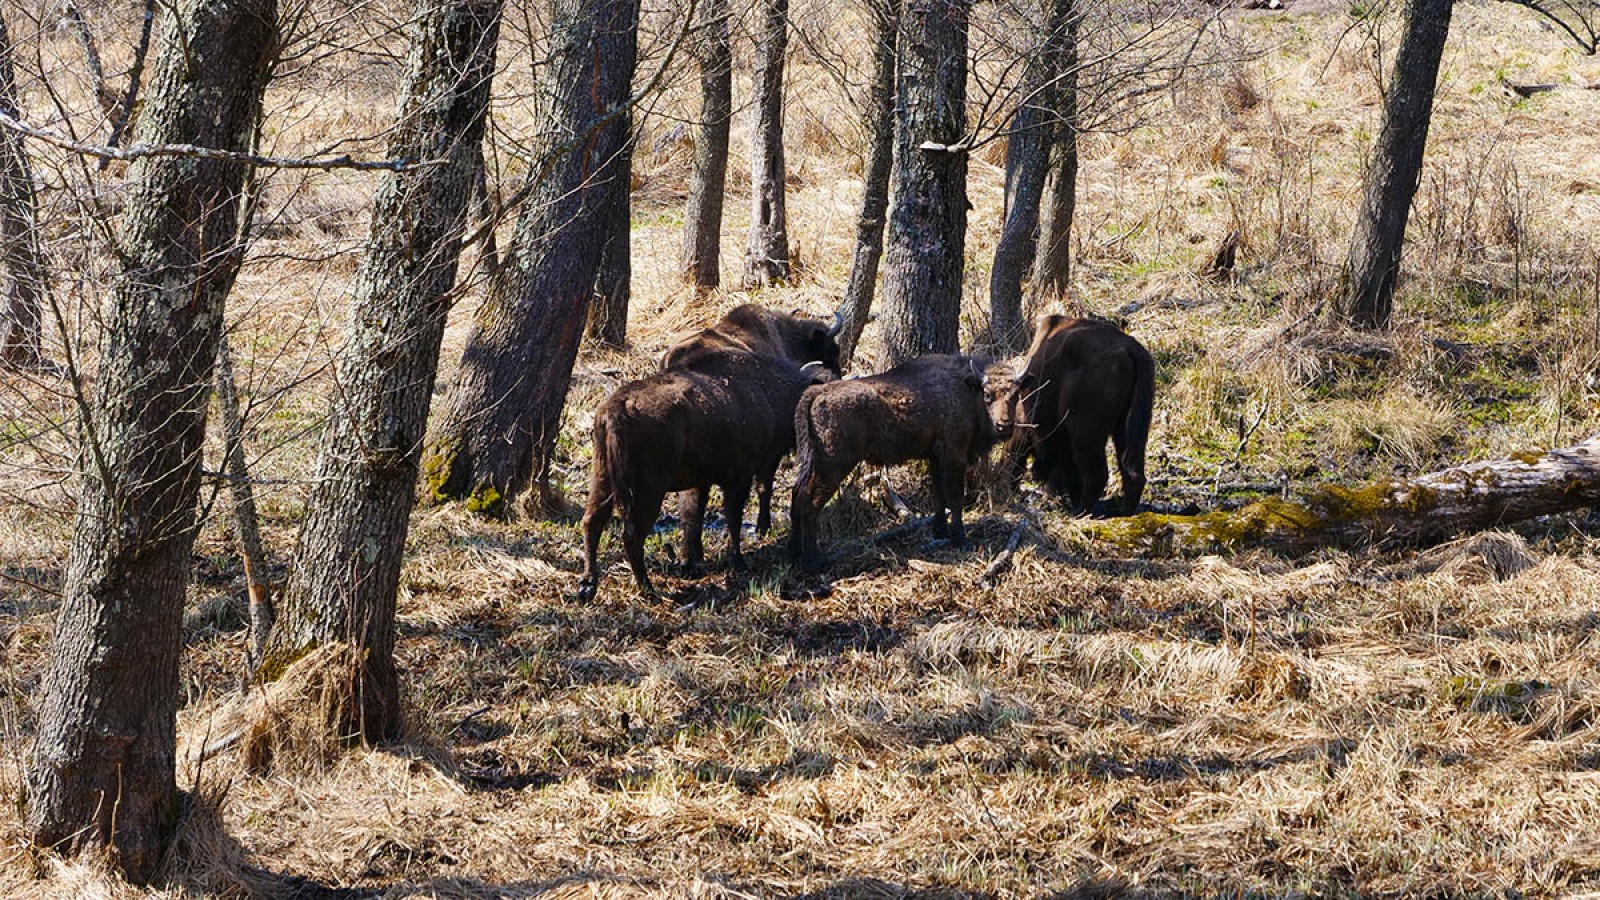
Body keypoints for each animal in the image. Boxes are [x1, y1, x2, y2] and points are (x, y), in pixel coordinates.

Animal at [579, 347, 832, 598]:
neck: (766, 389)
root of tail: (617, 408)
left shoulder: (701, 481)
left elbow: (693, 515)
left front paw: (690, 561)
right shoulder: (739, 477)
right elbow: (732, 517)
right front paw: (737, 560)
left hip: (603, 479)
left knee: (592, 522)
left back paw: (588, 585)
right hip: (649, 490)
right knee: (632, 536)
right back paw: (647, 588)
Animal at [790, 352, 1024, 566]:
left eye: (1014, 395)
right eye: (988, 395)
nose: (1004, 426)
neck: (966, 389)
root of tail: (818, 391)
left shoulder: (935, 457)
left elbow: (939, 495)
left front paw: (940, 531)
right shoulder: (955, 455)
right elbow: (955, 497)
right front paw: (961, 539)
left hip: (813, 463)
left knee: (798, 495)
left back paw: (793, 554)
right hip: (833, 466)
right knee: (811, 504)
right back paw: (814, 561)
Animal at [1011, 313, 1152, 512]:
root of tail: (1130, 349)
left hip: (1085, 430)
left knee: (1097, 474)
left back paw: (1081, 511)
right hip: (1129, 425)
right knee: (1133, 472)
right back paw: (1122, 511)